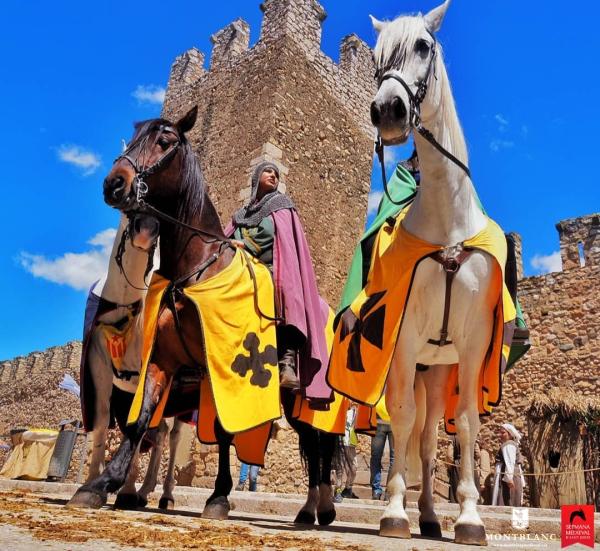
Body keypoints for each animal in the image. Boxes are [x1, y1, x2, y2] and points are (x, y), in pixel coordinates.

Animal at [84, 213, 188, 512]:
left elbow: (139, 426)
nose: (145, 230)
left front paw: (126, 491)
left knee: (173, 436)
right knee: (160, 432)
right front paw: (92, 483)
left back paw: (165, 494)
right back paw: (146, 489)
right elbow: (102, 420)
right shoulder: (98, 365)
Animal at [366, 0, 510, 544]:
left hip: (440, 369)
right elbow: (402, 421)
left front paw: (469, 517)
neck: (448, 224)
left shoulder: (473, 345)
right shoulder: (402, 341)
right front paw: (393, 511)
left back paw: (431, 514)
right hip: (419, 365)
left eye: (424, 46)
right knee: (416, 431)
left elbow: (465, 423)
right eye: (376, 56)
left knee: (430, 439)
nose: (387, 110)